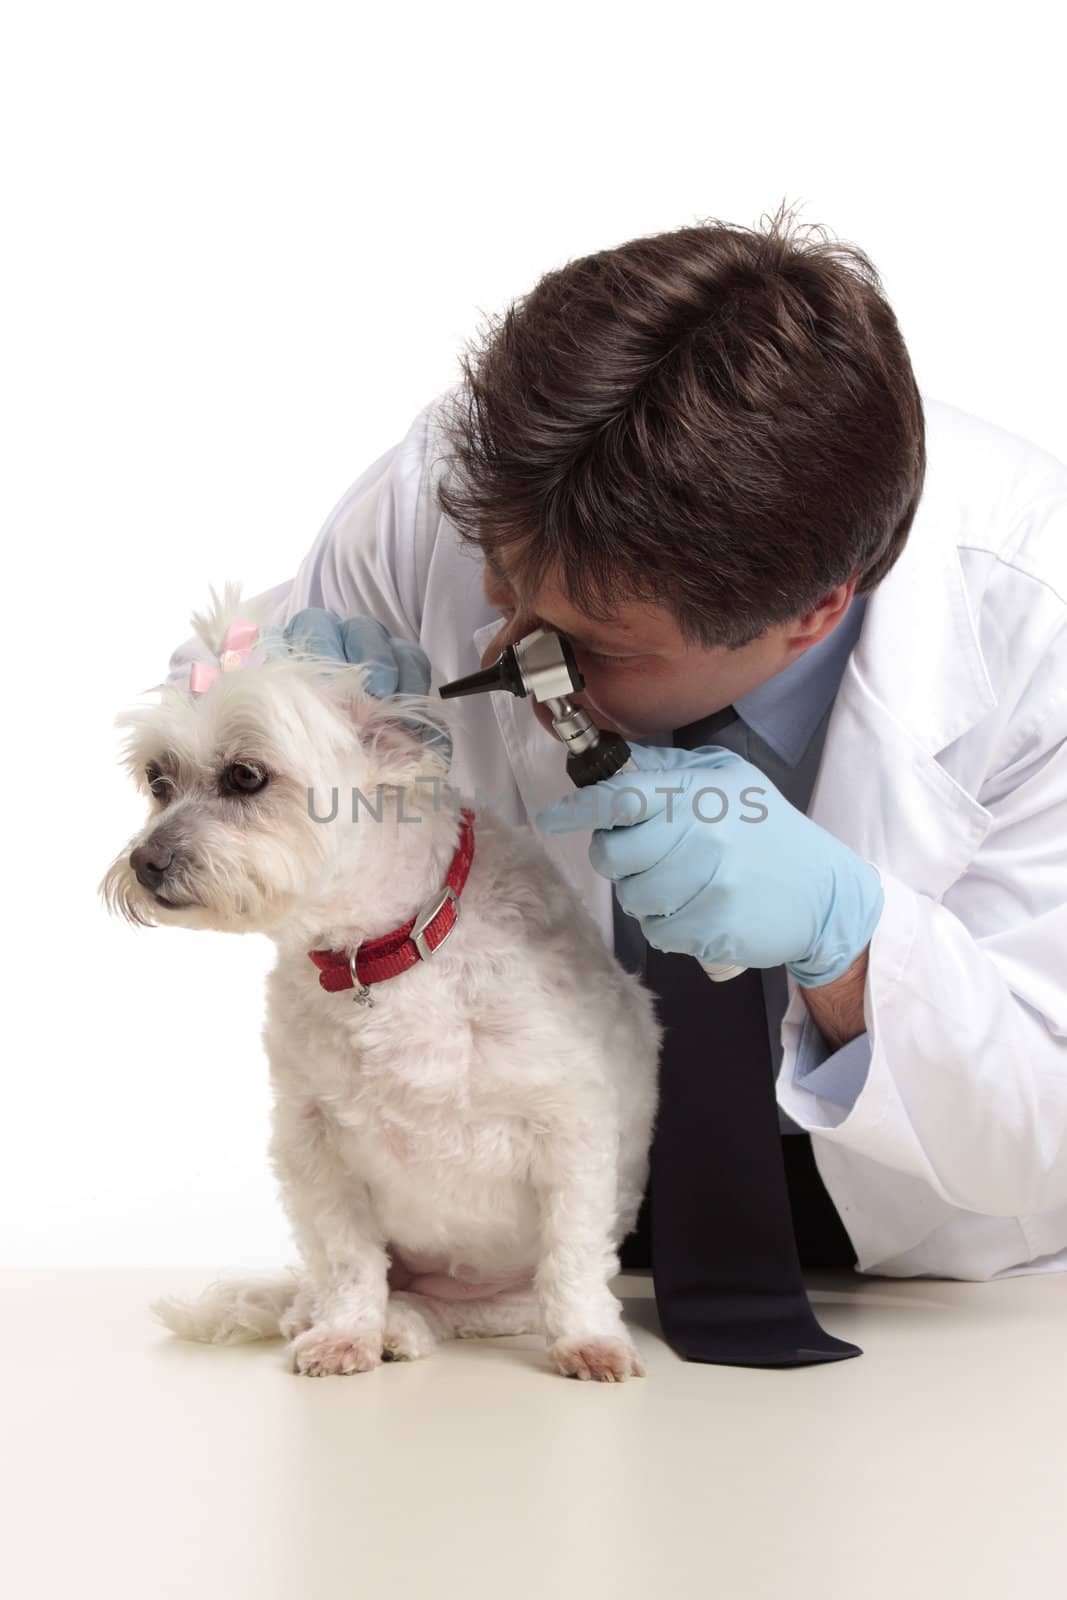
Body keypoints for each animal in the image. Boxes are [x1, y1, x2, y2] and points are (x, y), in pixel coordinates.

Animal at [102, 585, 668, 1376]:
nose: (144, 862)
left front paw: (589, 1340)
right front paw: (347, 1333)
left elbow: (574, 1260)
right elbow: (348, 1262)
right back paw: (367, 1323)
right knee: (336, 1286)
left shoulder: (574, 1131)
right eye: (158, 780)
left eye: (246, 775)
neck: (384, 951)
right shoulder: (312, 1145)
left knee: (488, 1305)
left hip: (505, 1293)